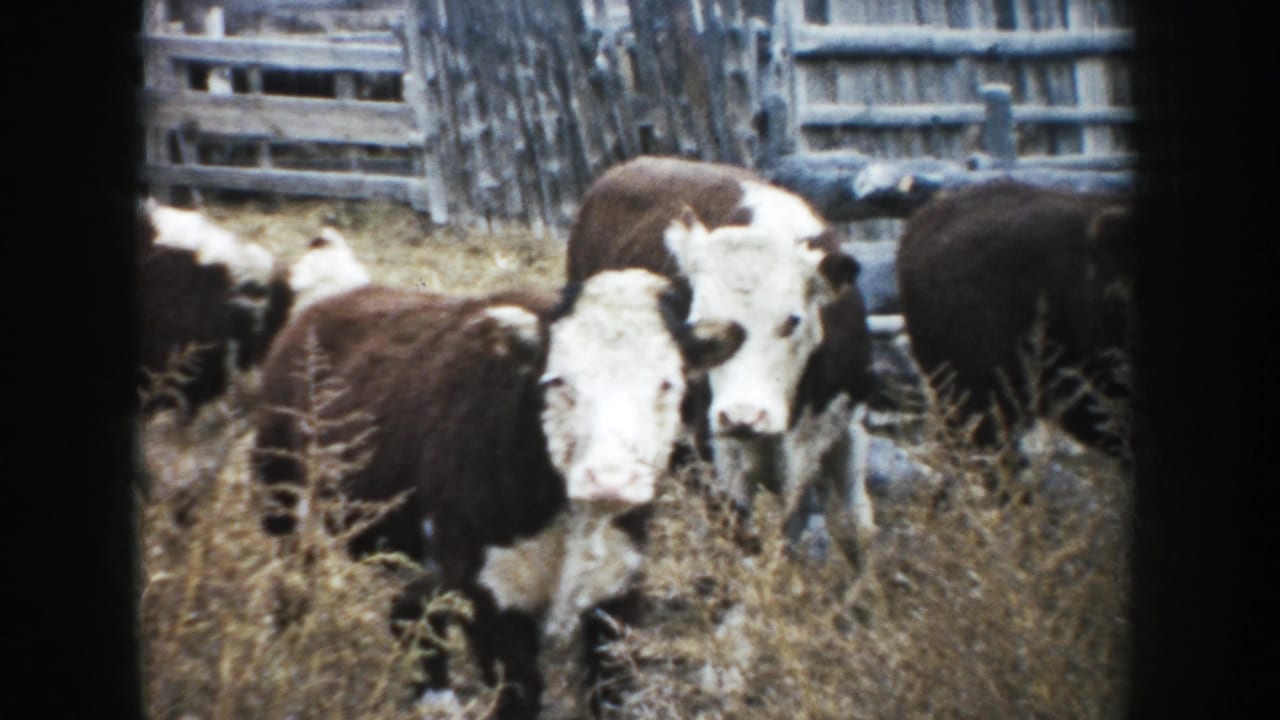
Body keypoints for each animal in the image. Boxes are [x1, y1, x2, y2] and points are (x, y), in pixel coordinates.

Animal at [253, 268, 745, 719]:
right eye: (558, 381)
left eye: (667, 383)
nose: (610, 479)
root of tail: (324, 308)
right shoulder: (490, 599)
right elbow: (517, 696)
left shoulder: (618, 592)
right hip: (284, 505)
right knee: (291, 591)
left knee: (411, 612)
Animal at [566, 156, 877, 570]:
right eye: (701, 322)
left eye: (792, 320)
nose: (743, 415)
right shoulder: (717, 457)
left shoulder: (849, 429)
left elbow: (854, 530)